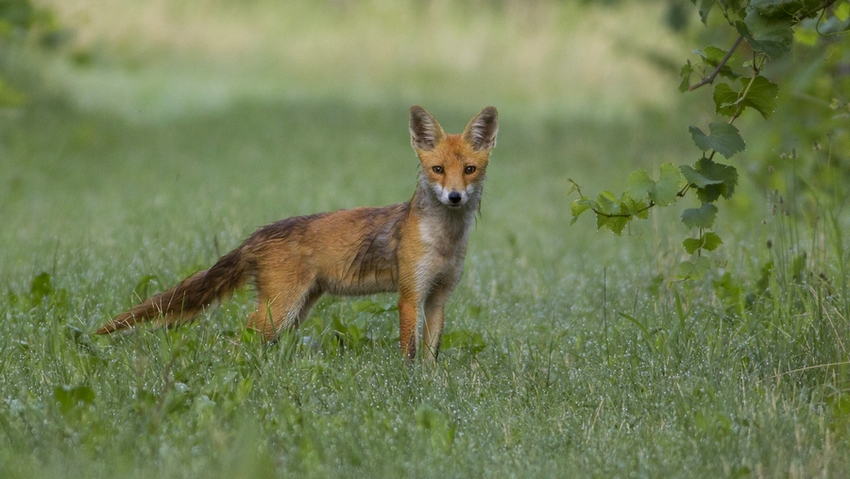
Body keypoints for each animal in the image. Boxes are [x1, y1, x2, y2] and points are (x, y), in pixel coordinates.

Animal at [96, 105, 496, 360]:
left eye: (470, 170)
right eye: (438, 169)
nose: (455, 197)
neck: (444, 242)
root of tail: (258, 235)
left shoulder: (439, 297)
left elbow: (431, 355)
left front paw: (430, 386)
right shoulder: (410, 295)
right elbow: (409, 352)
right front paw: (406, 385)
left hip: (295, 311)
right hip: (280, 312)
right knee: (234, 340)